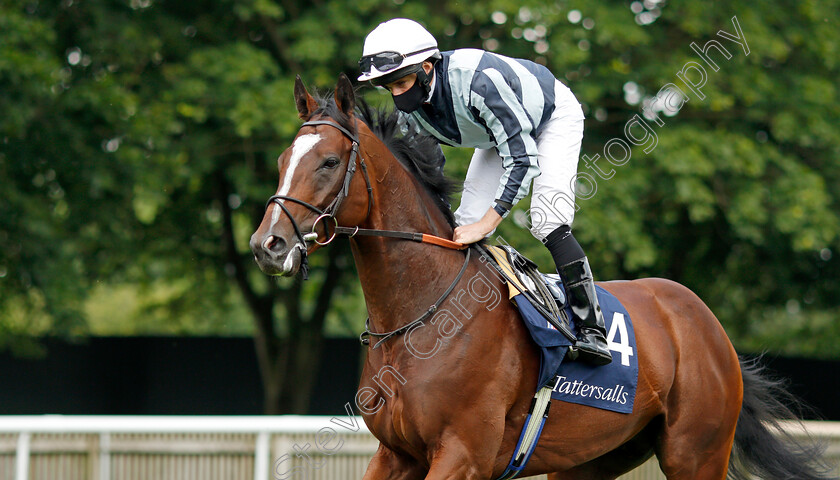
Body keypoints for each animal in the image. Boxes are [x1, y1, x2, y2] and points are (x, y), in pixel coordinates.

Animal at [249, 74, 832, 480]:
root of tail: (707, 324)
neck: (421, 314)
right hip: (588, 460)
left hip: (697, 453)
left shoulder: (463, 453)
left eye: (328, 162)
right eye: (281, 159)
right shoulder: (396, 453)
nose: (266, 245)